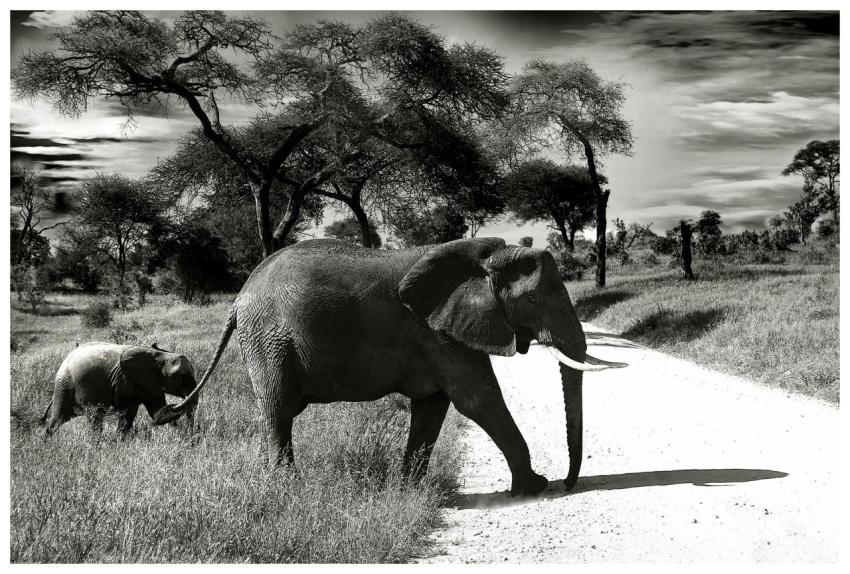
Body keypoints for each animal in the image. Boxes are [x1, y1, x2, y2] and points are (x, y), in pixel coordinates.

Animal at [41, 342, 198, 437]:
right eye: (178, 377)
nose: (191, 435)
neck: (159, 355)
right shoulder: (125, 380)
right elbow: (128, 412)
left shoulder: (150, 383)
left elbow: (157, 412)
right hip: (64, 385)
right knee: (62, 418)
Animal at [164, 238, 624, 496]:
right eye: (532, 300)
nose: (569, 483)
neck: (487, 257)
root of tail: (238, 299)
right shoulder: (437, 330)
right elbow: (478, 400)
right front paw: (534, 488)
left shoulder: (438, 332)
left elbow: (434, 406)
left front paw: (408, 492)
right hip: (269, 341)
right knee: (279, 410)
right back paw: (286, 488)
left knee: (277, 413)